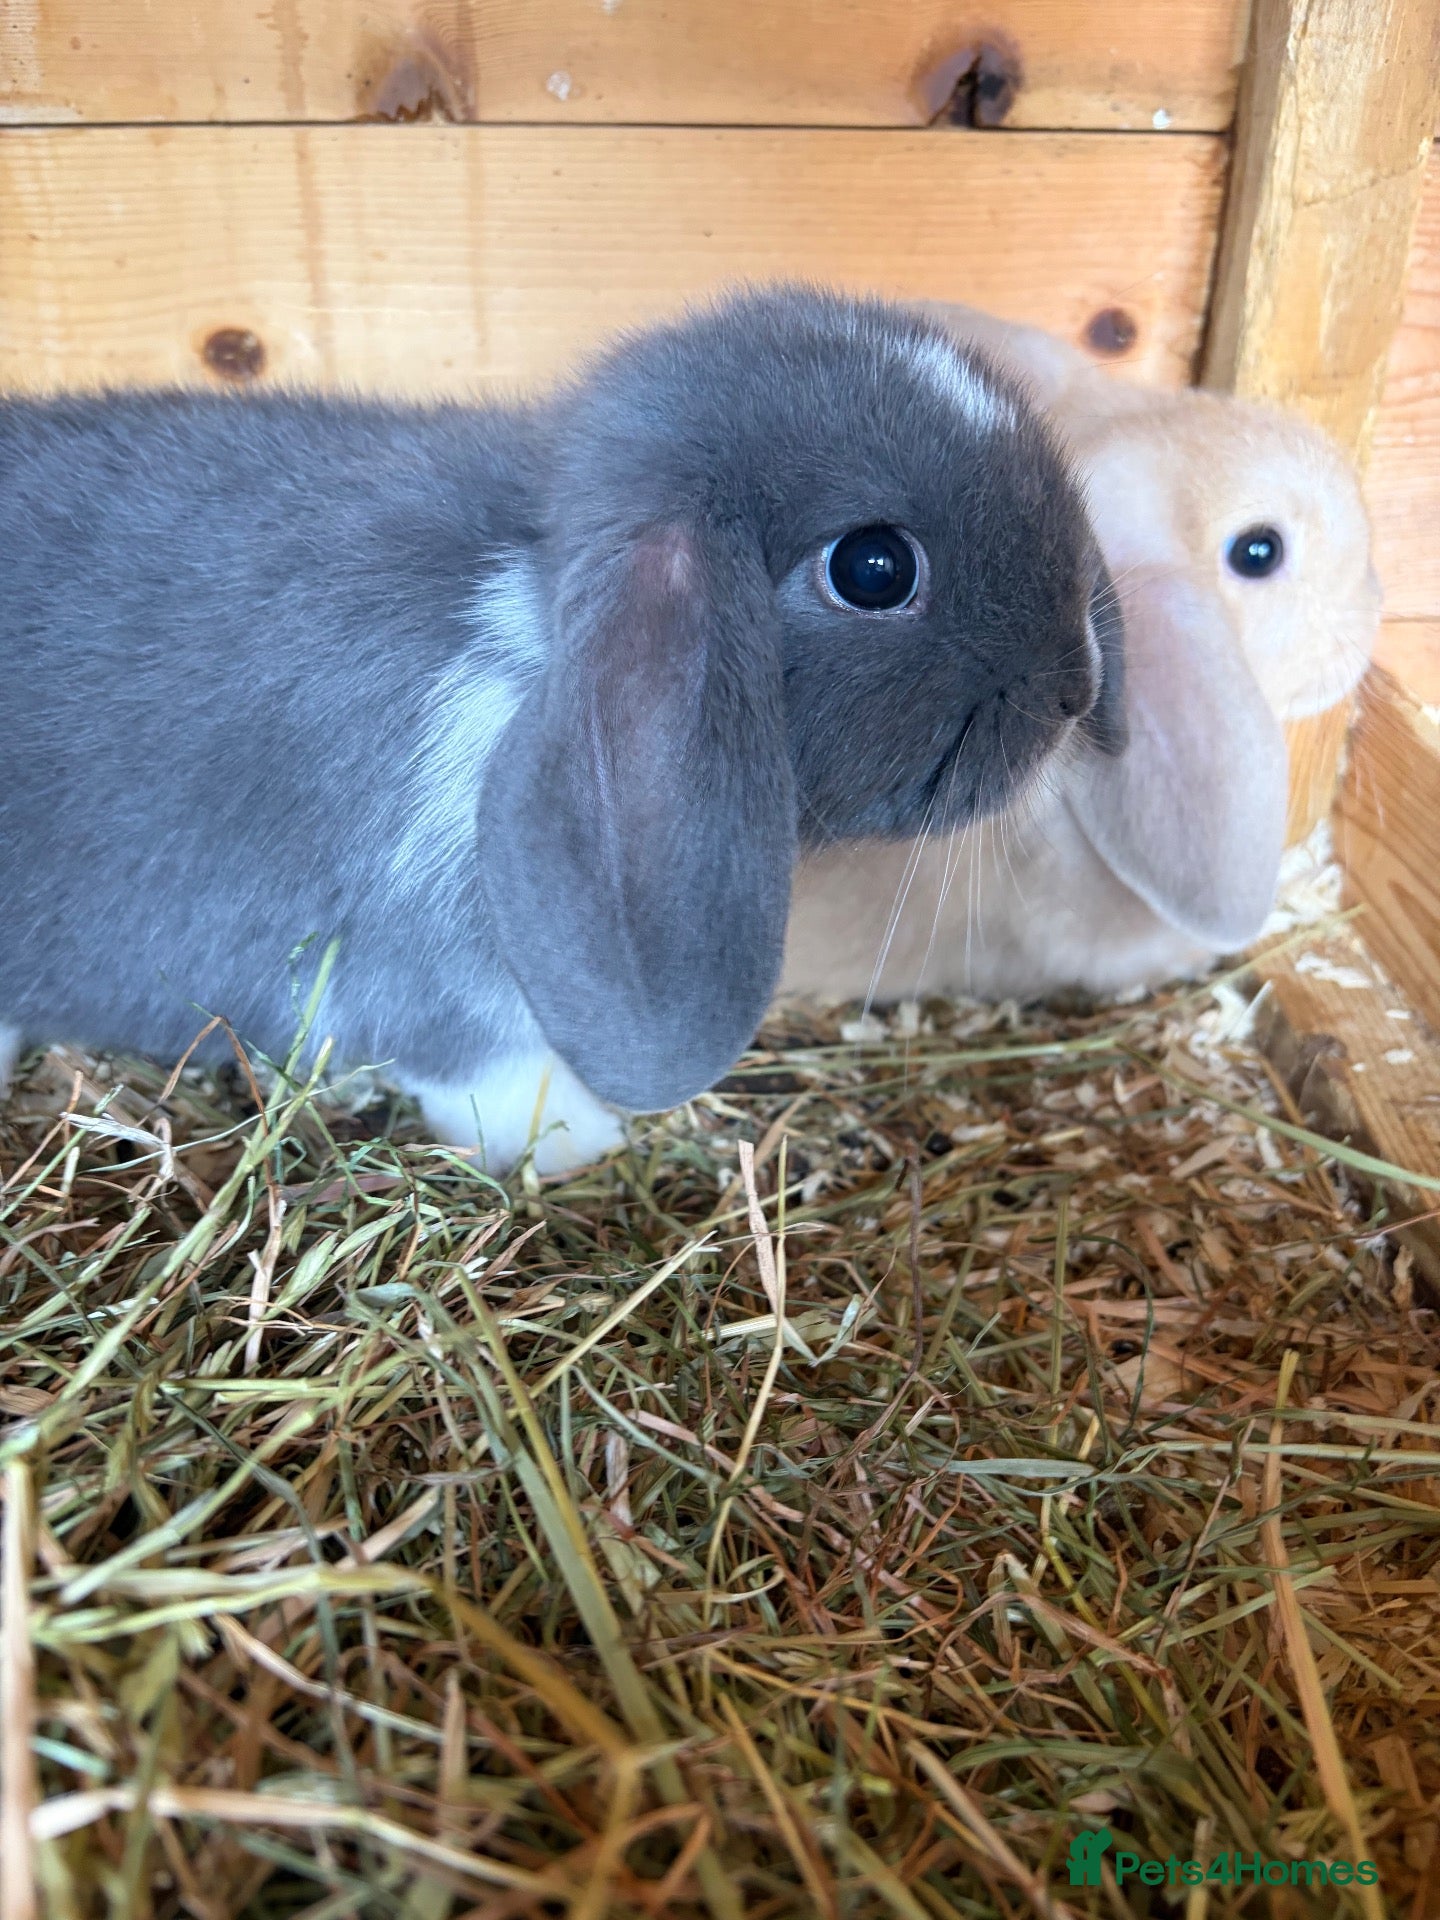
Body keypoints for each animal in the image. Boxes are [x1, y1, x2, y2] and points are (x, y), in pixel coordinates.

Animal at [0, 286, 1123, 1173]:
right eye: (874, 568)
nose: (1077, 690)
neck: (535, 621)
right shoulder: (434, 957)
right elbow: (485, 1062)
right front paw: (577, 1142)